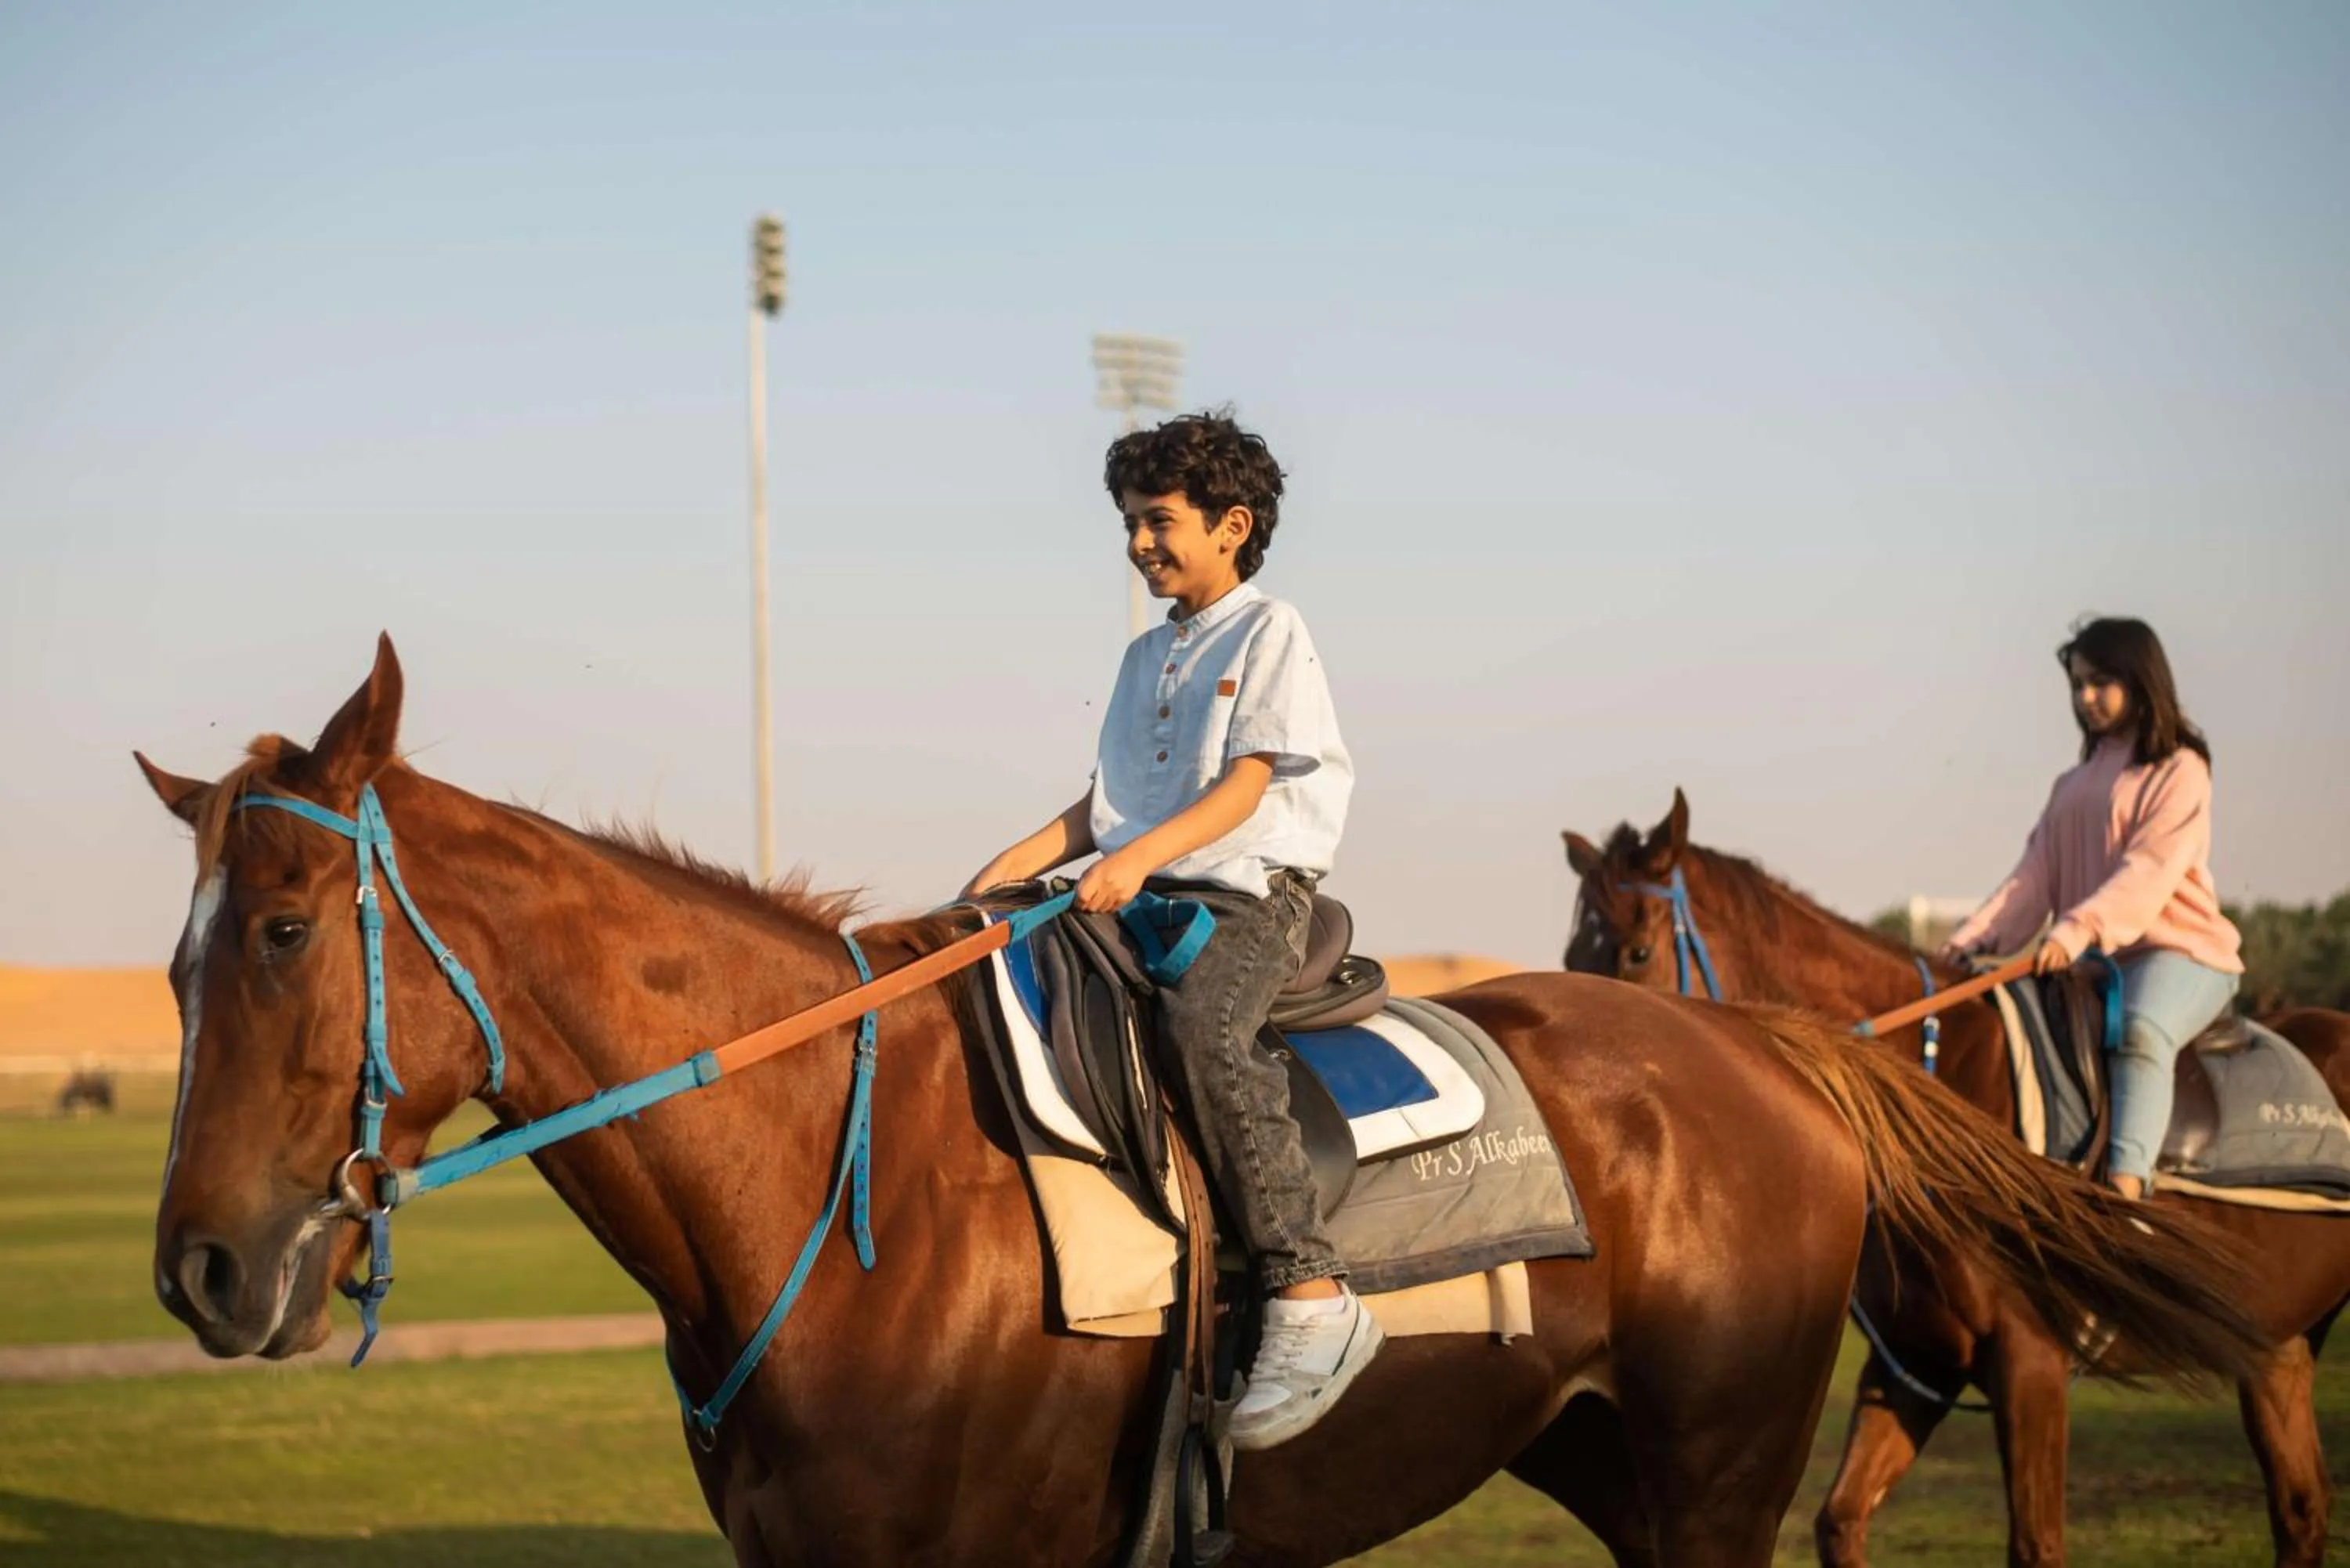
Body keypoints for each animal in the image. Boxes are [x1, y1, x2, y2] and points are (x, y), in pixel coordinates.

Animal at [138, 638, 2267, 1568]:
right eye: (174, 961)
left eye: (283, 928)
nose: (201, 1272)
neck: (835, 1187)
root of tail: (1769, 1051)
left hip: (1712, 1481)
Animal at [1563, 789, 2350, 1568]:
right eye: (1574, 953)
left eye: (1636, 951)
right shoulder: (1917, 1362)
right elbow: (1840, 1521)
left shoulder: (2031, 1361)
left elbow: (2036, 1545)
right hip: (2279, 1350)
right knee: (2300, 1510)